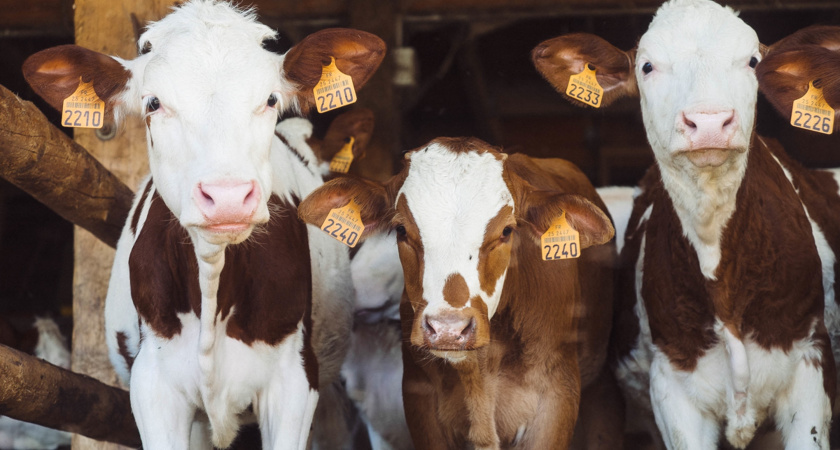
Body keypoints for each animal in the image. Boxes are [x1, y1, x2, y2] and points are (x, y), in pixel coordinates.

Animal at [298, 137, 620, 450]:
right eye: (401, 229)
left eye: (506, 231)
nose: (448, 329)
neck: (479, 372)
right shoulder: (419, 402)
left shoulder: (556, 400)